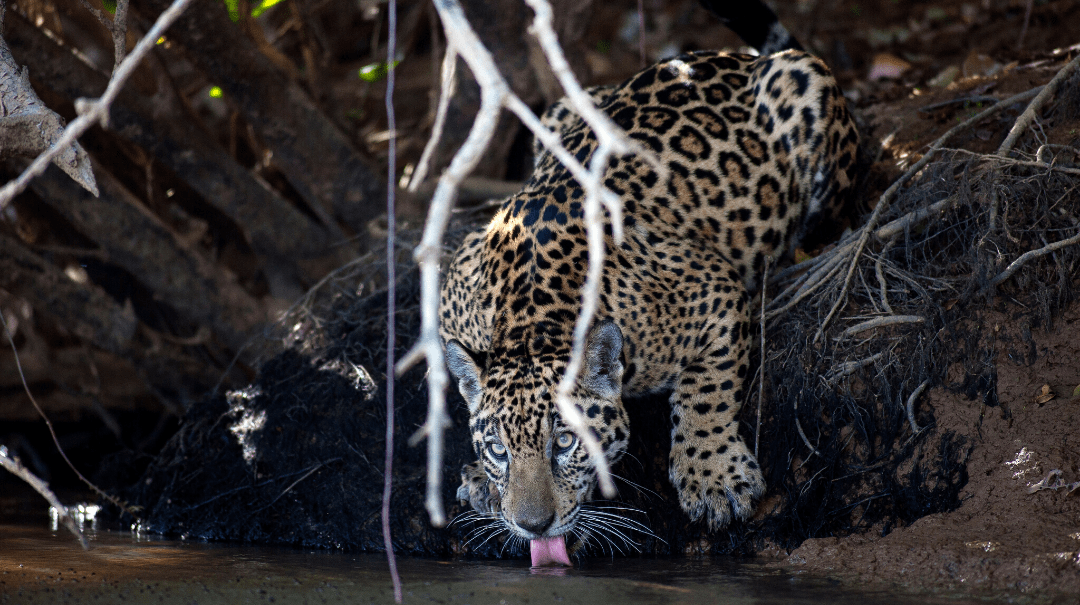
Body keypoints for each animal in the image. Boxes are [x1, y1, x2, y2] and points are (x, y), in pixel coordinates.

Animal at [438, 0, 858, 563]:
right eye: (499, 450)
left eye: (564, 443)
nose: (532, 524)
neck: (530, 317)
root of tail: (732, 56)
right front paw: (483, 481)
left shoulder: (713, 290)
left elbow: (707, 388)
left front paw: (713, 476)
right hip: (559, 110)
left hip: (807, 88)